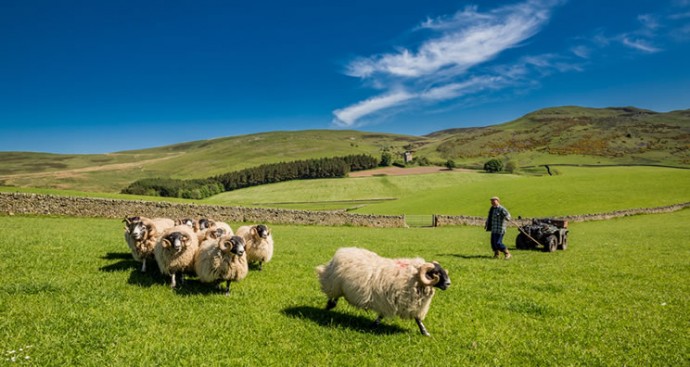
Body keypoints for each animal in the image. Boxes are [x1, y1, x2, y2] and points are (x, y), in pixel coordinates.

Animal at [314, 247, 448, 336]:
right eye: (436, 273)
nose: (448, 283)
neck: (414, 277)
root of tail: (342, 251)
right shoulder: (389, 302)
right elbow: (382, 315)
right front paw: (373, 326)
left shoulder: (409, 304)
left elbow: (418, 319)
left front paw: (425, 332)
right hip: (333, 283)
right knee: (333, 295)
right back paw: (329, 306)